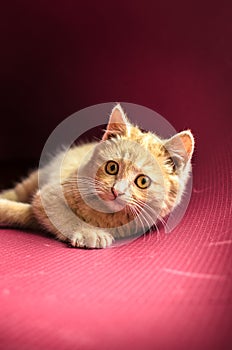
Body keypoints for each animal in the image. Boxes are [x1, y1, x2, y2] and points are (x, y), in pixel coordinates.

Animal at [0, 104, 194, 249]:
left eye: (143, 181)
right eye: (112, 167)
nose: (116, 191)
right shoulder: (50, 194)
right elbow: (61, 214)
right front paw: (89, 232)